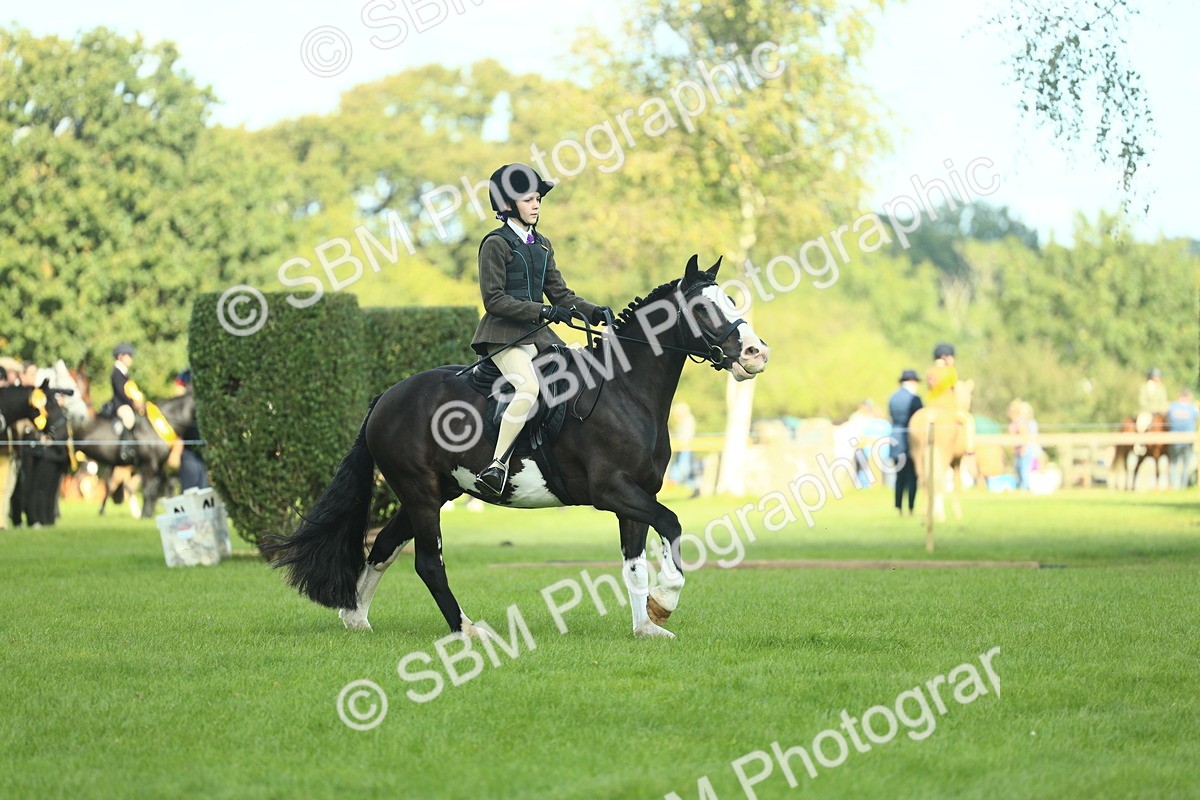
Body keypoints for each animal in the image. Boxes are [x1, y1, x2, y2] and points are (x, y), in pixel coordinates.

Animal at [260, 255, 770, 639]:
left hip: (433, 491)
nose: (756, 353)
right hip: (420, 493)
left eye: (729, 301)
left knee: (384, 545)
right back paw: (466, 630)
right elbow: (673, 524)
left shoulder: (635, 497)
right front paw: (664, 603)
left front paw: (647, 626)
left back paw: (356, 618)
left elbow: (635, 564)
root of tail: (387, 396)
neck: (624, 390)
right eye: (702, 308)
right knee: (428, 563)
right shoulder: (612, 492)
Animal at [907, 379, 974, 523]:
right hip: (943, 457)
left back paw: (925, 513)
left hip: (918, 456)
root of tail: (930, 416)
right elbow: (956, 484)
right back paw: (939, 514)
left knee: (923, 481)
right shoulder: (956, 461)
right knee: (939, 480)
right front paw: (957, 513)